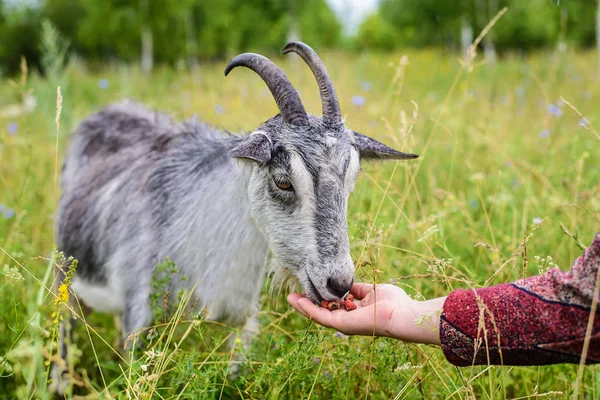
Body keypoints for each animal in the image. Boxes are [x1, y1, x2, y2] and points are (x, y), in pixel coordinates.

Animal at [52, 42, 418, 390]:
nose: (339, 283)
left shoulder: (241, 322)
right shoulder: (138, 314)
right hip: (65, 273)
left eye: (351, 179)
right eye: (283, 181)